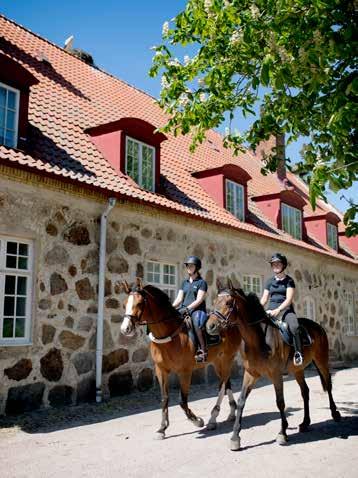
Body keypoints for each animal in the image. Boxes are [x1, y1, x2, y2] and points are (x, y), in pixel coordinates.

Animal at [119, 280, 242, 440]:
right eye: (124, 303)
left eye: (139, 303)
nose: (125, 329)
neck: (169, 335)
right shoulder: (161, 370)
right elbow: (165, 398)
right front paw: (162, 429)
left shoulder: (185, 372)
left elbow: (182, 401)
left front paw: (197, 421)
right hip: (218, 362)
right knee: (227, 383)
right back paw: (232, 413)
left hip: (227, 359)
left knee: (223, 385)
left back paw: (214, 419)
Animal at [206, 278, 340, 450]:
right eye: (215, 301)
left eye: (229, 303)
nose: (210, 326)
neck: (257, 340)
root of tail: (318, 326)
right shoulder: (250, 374)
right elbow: (241, 402)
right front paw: (235, 437)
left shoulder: (276, 375)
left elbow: (280, 402)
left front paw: (282, 433)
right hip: (298, 370)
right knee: (305, 392)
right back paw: (305, 423)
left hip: (322, 360)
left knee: (328, 385)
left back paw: (335, 414)